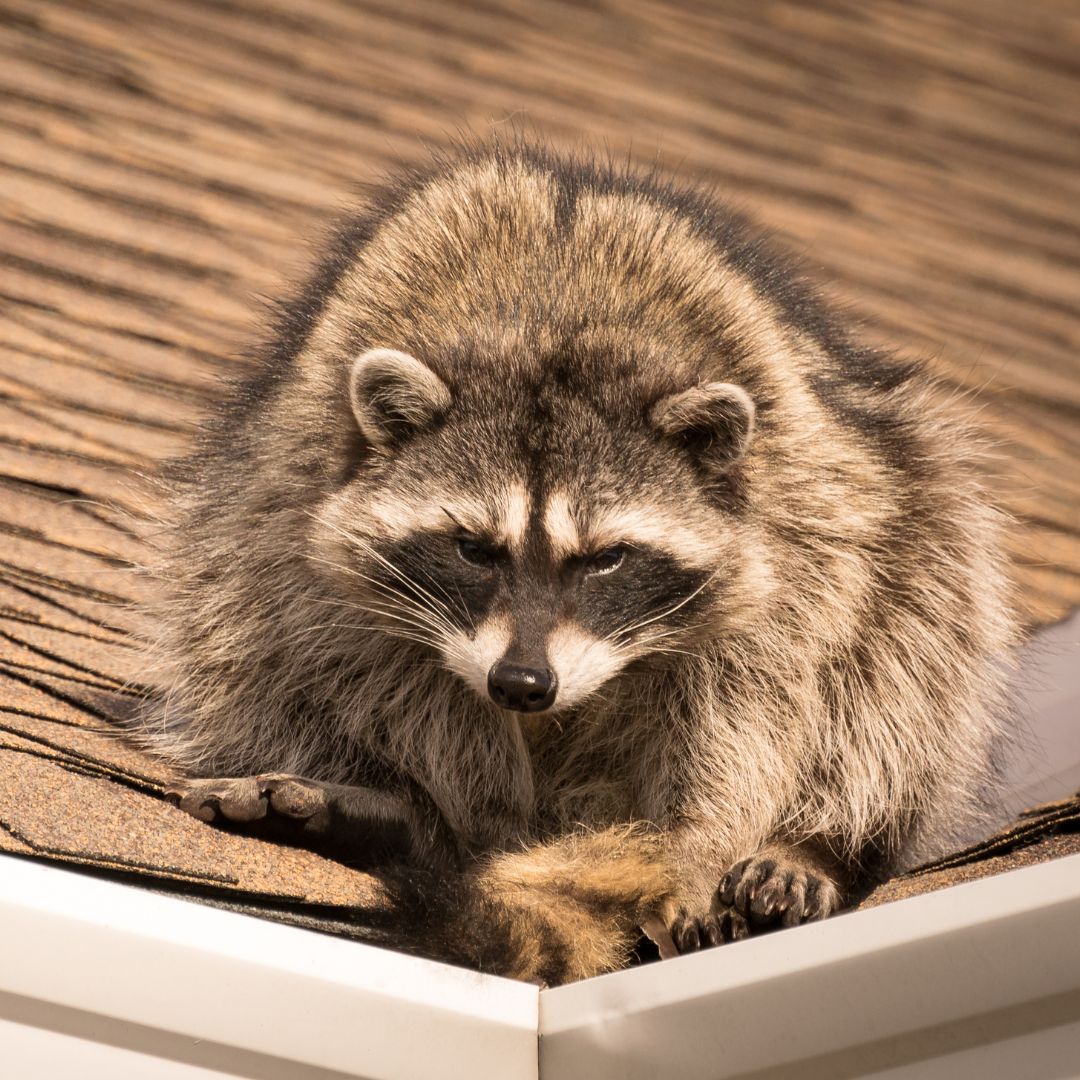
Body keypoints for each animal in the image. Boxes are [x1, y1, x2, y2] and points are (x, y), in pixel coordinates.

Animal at [139, 141, 1015, 989]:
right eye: (473, 548)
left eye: (606, 560)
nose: (523, 683)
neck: (549, 329)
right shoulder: (309, 516)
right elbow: (379, 664)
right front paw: (466, 814)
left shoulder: (798, 537)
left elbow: (754, 701)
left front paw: (698, 848)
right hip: (241, 528)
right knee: (244, 626)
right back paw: (405, 811)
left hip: (907, 507)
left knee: (909, 641)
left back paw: (813, 844)